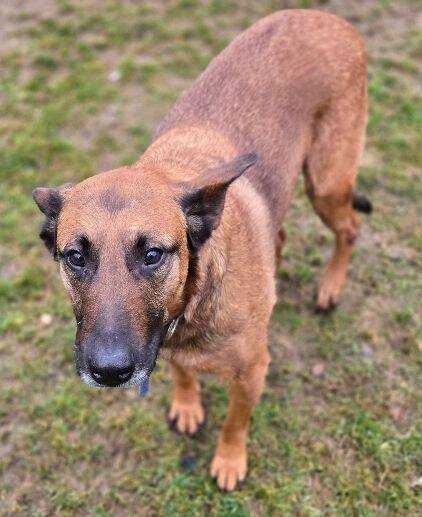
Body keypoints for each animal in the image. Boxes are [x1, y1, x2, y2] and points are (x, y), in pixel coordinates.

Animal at [33, 10, 372, 491]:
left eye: (153, 255)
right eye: (75, 257)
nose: (110, 372)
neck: (189, 308)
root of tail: (328, 16)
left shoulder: (252, 373)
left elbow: (235, 421)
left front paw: (229, 460)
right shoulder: (166, 346)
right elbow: (181, 371)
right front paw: (187, 402)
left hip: (327, 185)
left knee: (351, 229)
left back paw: (331, 285)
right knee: (282, 236)